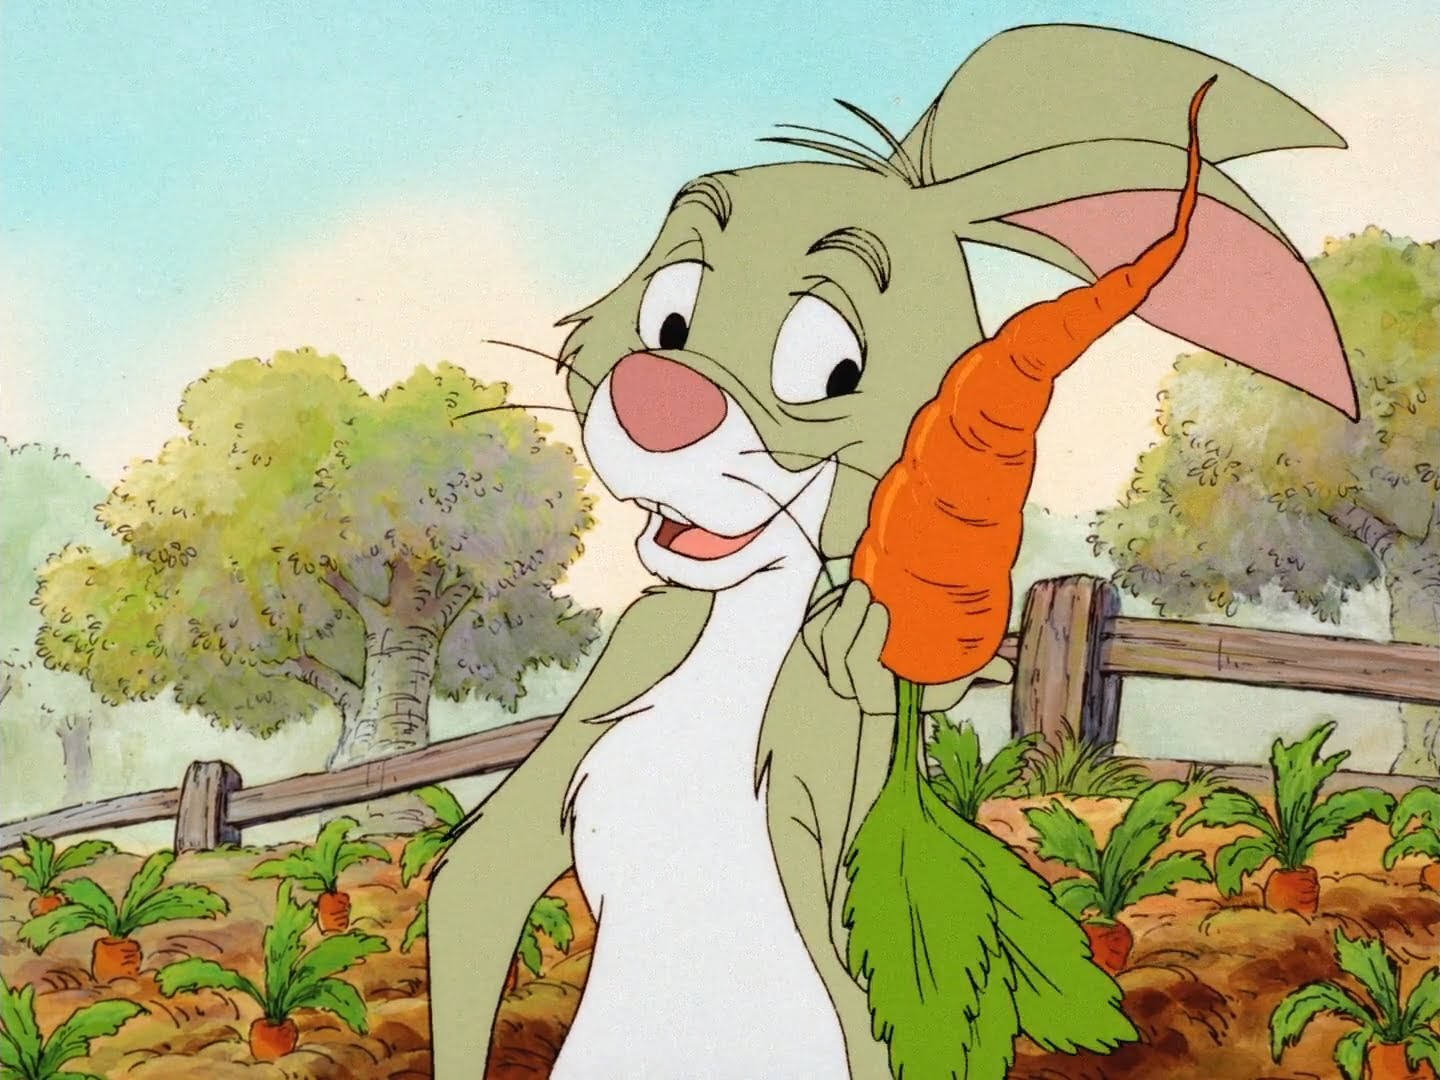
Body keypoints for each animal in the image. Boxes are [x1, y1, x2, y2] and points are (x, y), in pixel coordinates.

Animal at [427, 23, 1353, 1080]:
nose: (657, 396)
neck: (748, 621)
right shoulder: (635, 646)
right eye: (668, 318)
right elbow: (478, 869)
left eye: (831, 366)